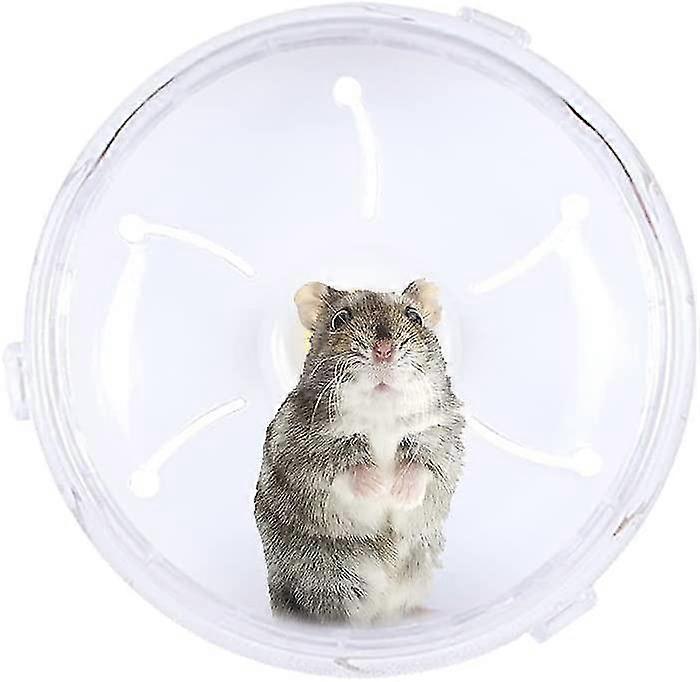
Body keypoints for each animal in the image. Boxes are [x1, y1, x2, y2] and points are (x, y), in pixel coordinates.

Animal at [254, 280, 465, 624]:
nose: (384, 351)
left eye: (414, 317)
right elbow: (346, 467)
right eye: (340, 319)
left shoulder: (441, 436)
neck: (381, 409)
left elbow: (422, 465)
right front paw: (379, 487)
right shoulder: (304, 449)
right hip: (331, 579)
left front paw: (399, 493)